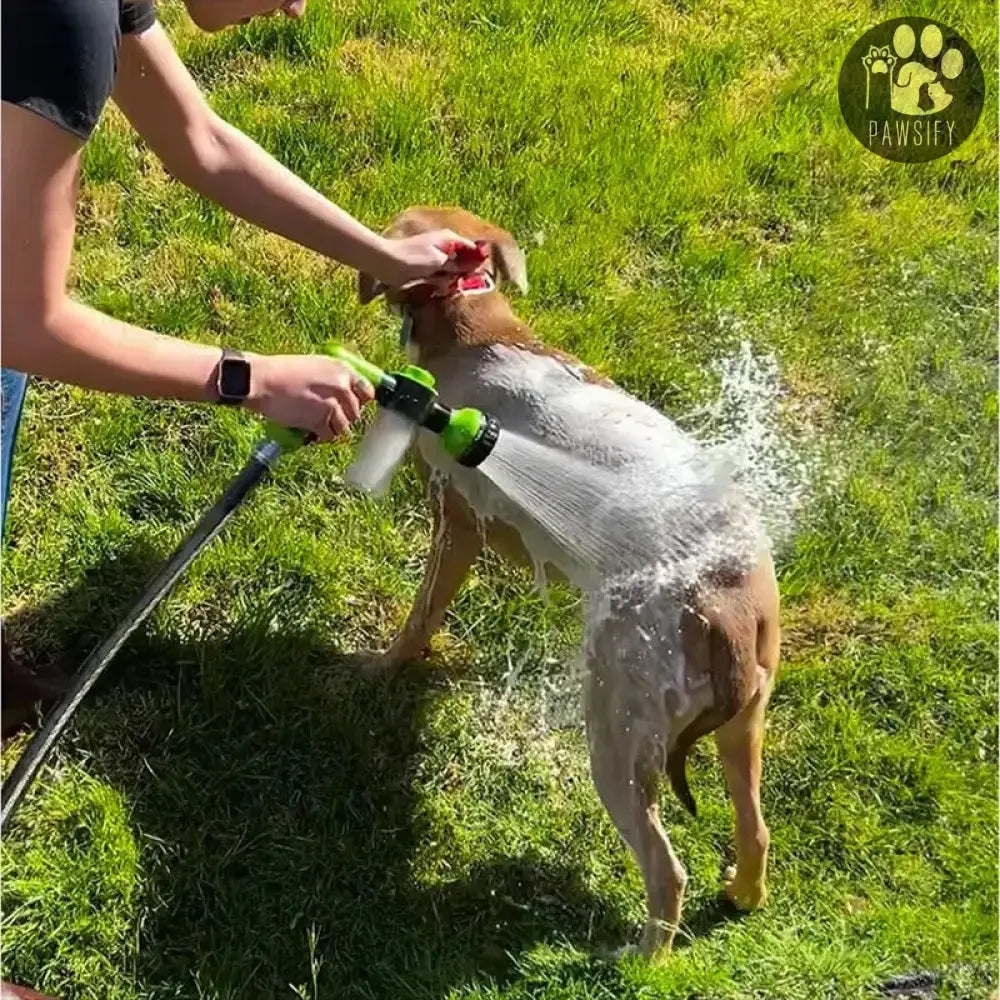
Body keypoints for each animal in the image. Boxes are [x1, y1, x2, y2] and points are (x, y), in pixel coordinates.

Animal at [360, 207, 780, 956]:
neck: (477, 329)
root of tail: (727, 613)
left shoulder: (456, 522)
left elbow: (419, 618)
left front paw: (381, 667)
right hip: (745, 724)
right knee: (756, 829)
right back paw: (741, 894)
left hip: (619, 737)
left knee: (666, 870)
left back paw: (642, 960)